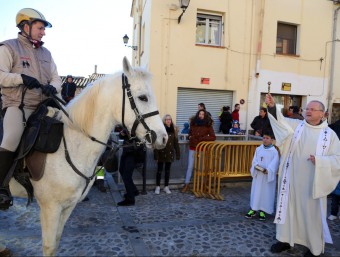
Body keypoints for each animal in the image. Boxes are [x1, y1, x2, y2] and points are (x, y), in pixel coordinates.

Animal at [7, 56, 167, 256]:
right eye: (143, 97)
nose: (163, 137)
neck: (69, 144)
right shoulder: (50, 208)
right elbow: (49, 247)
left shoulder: (68, 206)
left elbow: (56, 242)